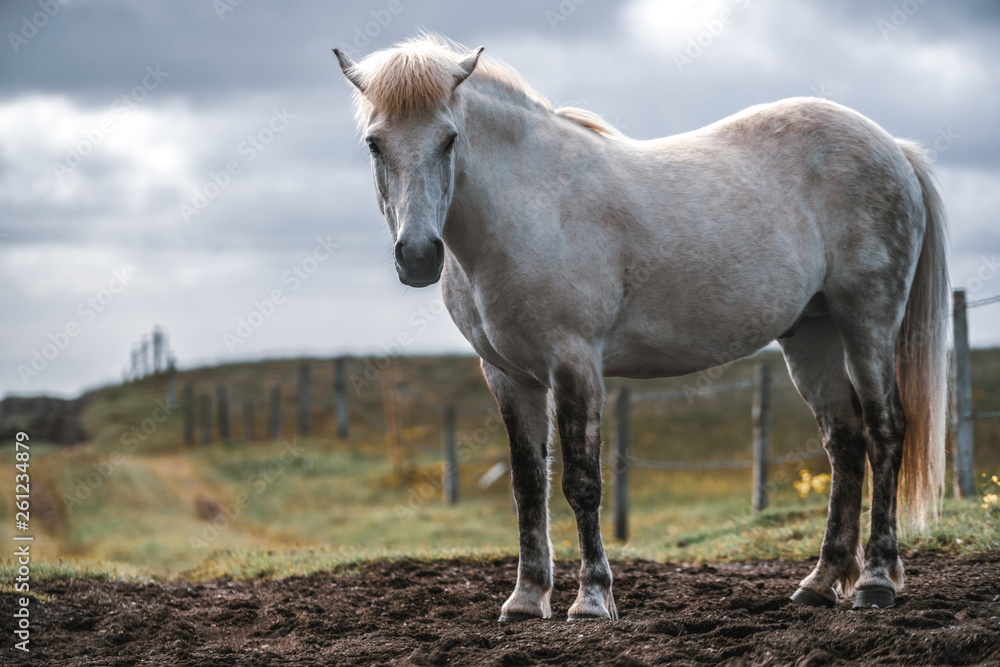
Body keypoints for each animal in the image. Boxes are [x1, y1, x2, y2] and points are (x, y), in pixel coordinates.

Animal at [332, 35, 948, 620]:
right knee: (844, 443)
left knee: (886, 431)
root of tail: (893, 148)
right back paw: (819, 585)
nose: (417, 257)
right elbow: (527, 486)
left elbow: (581, 482)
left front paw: (591, 599)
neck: (528, 206)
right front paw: (527, 599)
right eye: (375, 143)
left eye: (449, 139)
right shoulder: (508, 376)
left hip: (867, 322)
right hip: (812, 335)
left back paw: (875, 582)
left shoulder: (575, 364)